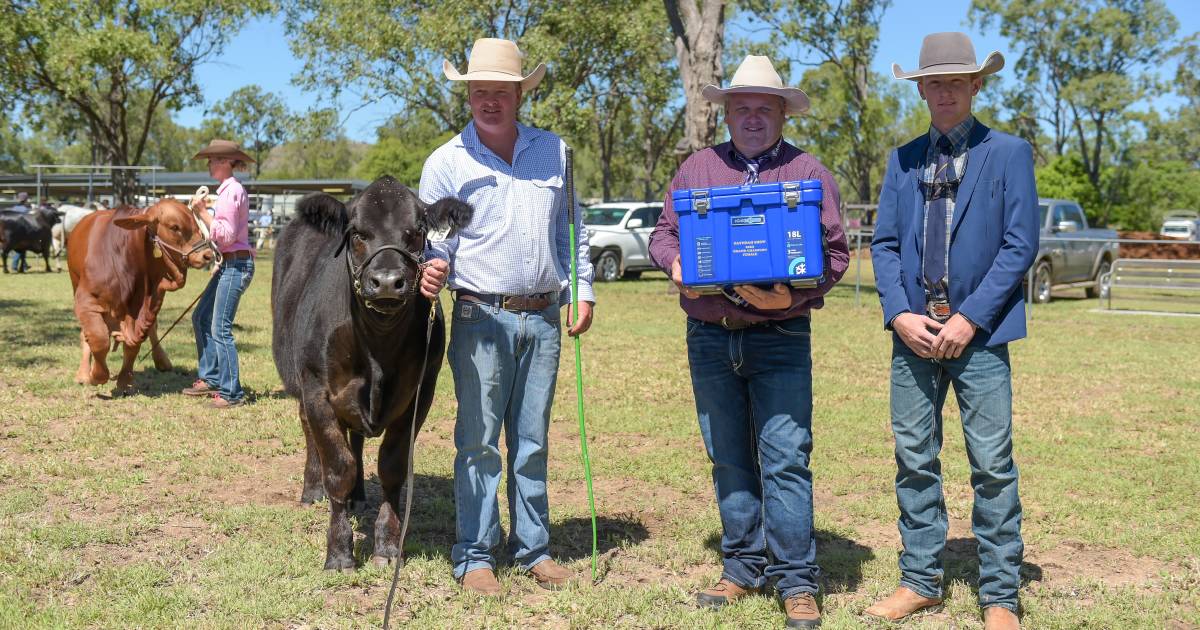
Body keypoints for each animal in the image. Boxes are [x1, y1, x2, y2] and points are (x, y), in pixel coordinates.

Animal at [68, 199, 218, 391]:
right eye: (174, 227)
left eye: (196, 225)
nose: (207, 255)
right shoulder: (86, 302)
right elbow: (98, 338)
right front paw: (95, 376)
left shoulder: (148, 303)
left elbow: (135, 343)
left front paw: (125, 379)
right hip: (75, 283)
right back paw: (83, 373)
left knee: (152, 329)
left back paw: (162, 360)